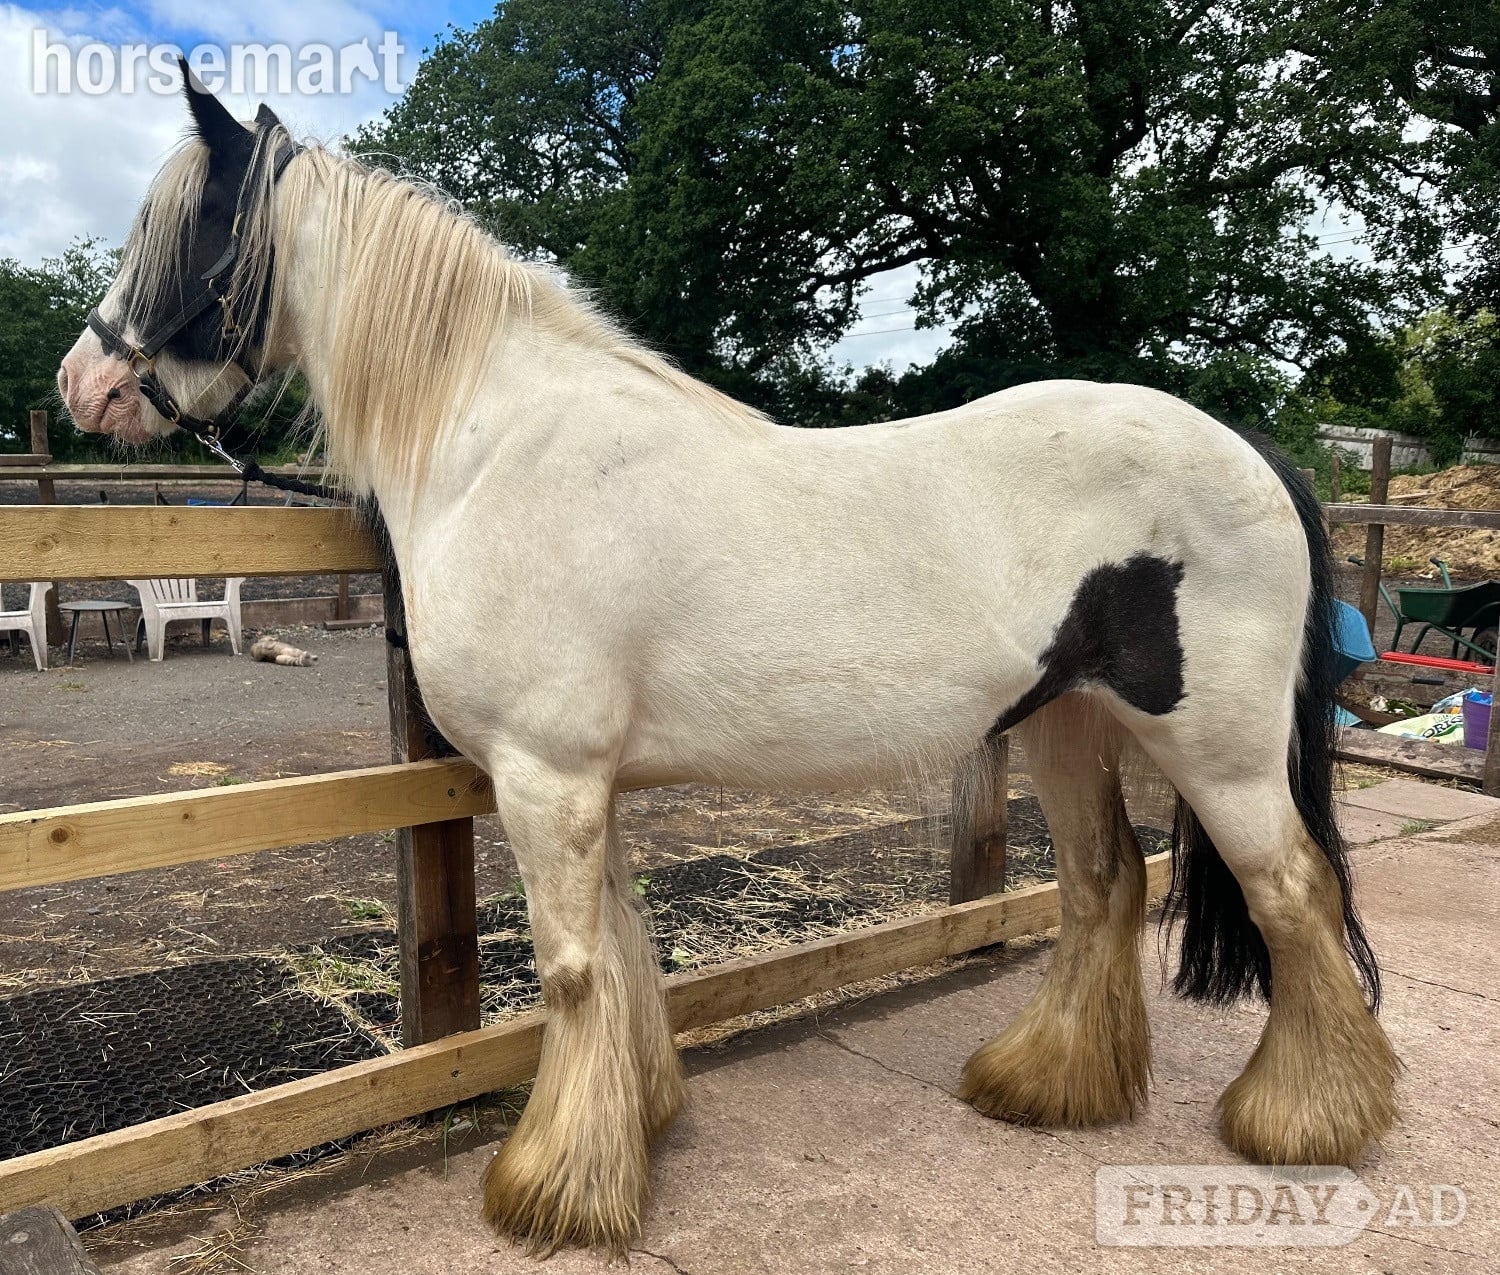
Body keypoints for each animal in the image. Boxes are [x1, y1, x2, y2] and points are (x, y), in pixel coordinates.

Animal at [58, 68, 1399, 1255]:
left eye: (187, 232)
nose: (84, 382)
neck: (501, 447)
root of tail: (1253, 451)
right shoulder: (583, 782)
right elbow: (626, 952)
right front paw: (632, 1128)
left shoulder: (546, 775)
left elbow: (575, 971)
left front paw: (556, 1191)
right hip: (1067, 724)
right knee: (1104, 886)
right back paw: (1049, 1086)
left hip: (1215, 749)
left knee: (1292, 893)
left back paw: (1306, 1121)